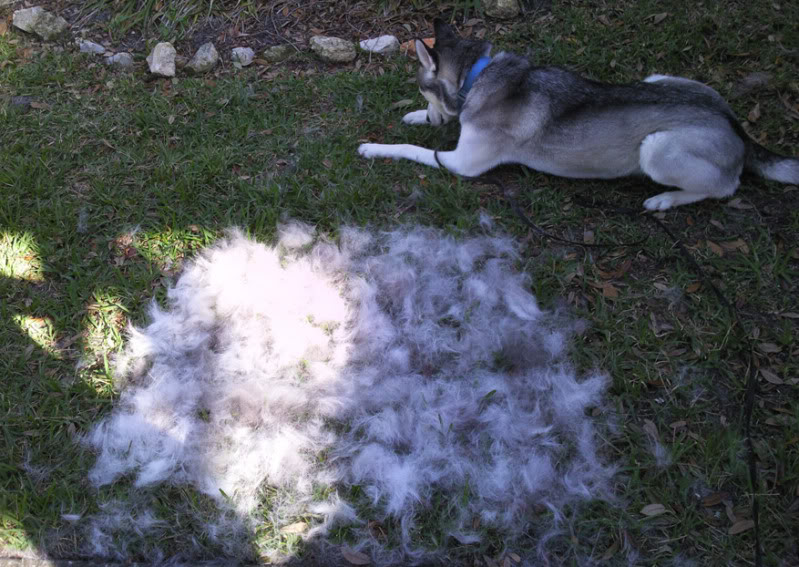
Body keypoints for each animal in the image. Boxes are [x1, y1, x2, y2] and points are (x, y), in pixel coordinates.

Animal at [360, 20, 799, 212]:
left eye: (422, 86)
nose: (432, 118)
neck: (477, 74)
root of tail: (735, 126)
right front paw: (415, 118)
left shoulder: (461, 163)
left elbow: (410, 149)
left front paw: (374, 147)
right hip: (659, 78)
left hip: (656, 148)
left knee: (725, 187)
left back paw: (666, 199)